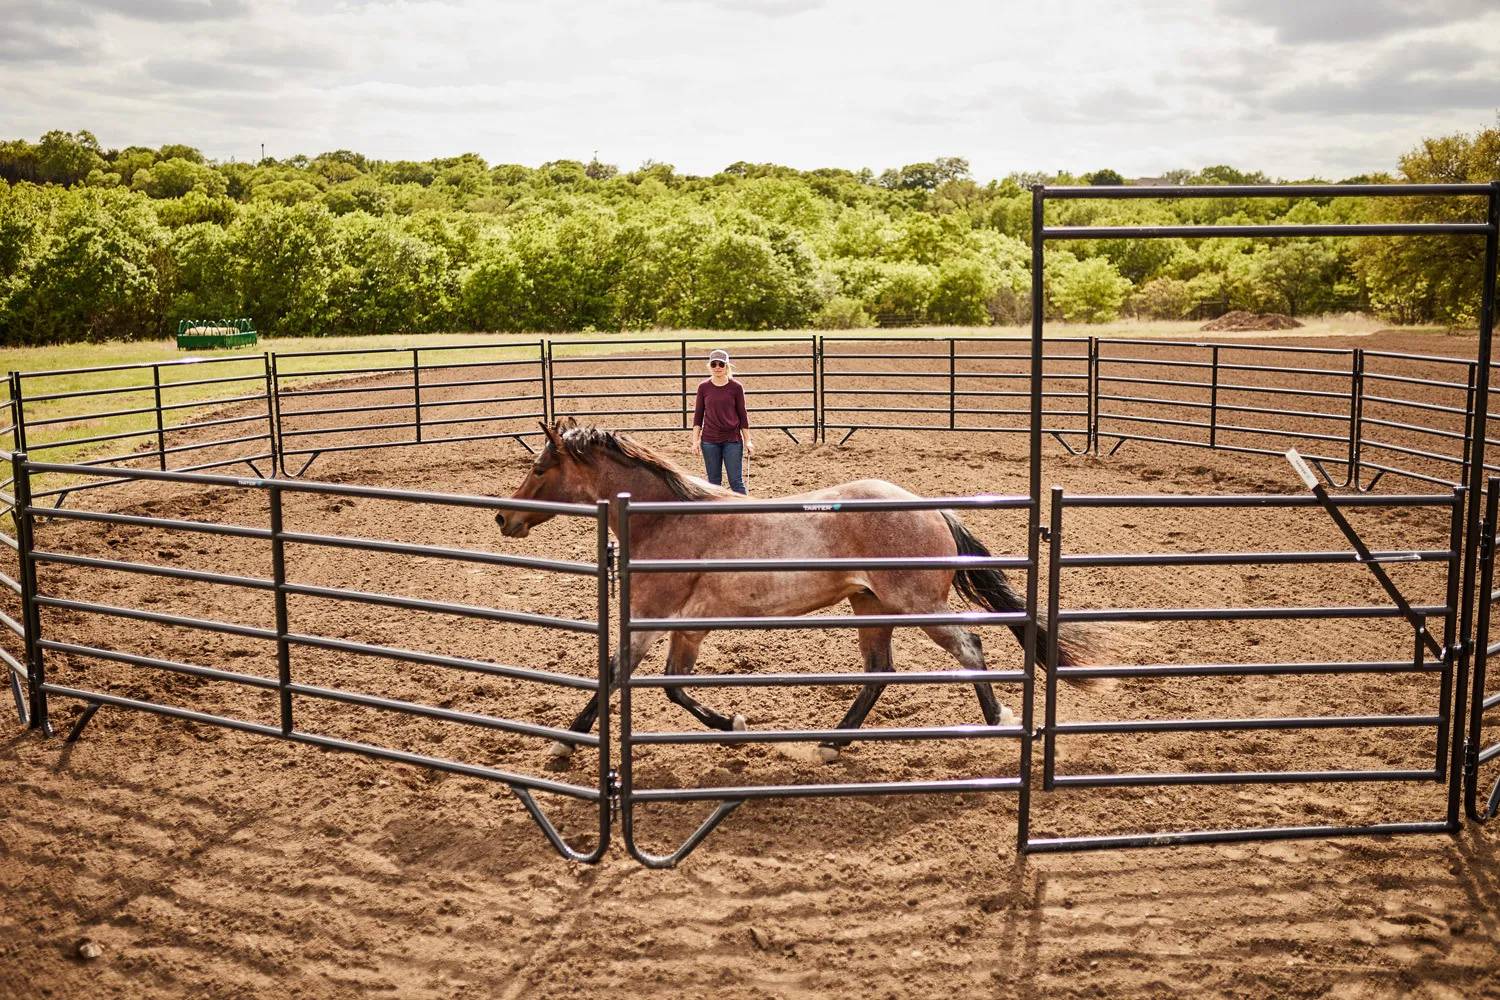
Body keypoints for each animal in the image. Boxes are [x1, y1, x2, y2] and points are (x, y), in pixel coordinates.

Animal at [498, 419, 1098, 761]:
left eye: (538, 468)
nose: (504, 518)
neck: (665, 520)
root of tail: (935, 511)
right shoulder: (687, 628)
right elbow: (674, 687)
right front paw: (734, 725)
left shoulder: (648, 620)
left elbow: (615, 675)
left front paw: (563, 745)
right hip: (870, 605)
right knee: (879, 671)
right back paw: (832, 743)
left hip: (919, 604)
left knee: (970, 649)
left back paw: (998, 723)